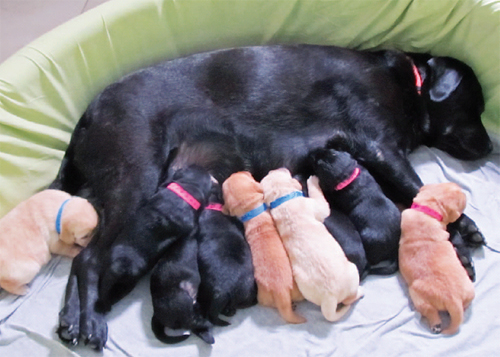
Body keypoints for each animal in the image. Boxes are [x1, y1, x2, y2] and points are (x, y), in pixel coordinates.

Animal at [260, 168, 362, 322]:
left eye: (269, 174)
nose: (278, 168)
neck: (282, 199)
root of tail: (329, 299)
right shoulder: (315, 205)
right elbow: (322, 203)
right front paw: (312, 180)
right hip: (352, 271)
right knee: (348, 299)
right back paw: (360, 292)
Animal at [398, 182, 472, 336]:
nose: (463, 190)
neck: (428, 210)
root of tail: (454, 300)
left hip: (417, 294)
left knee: (430, 311)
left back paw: (436, 324)